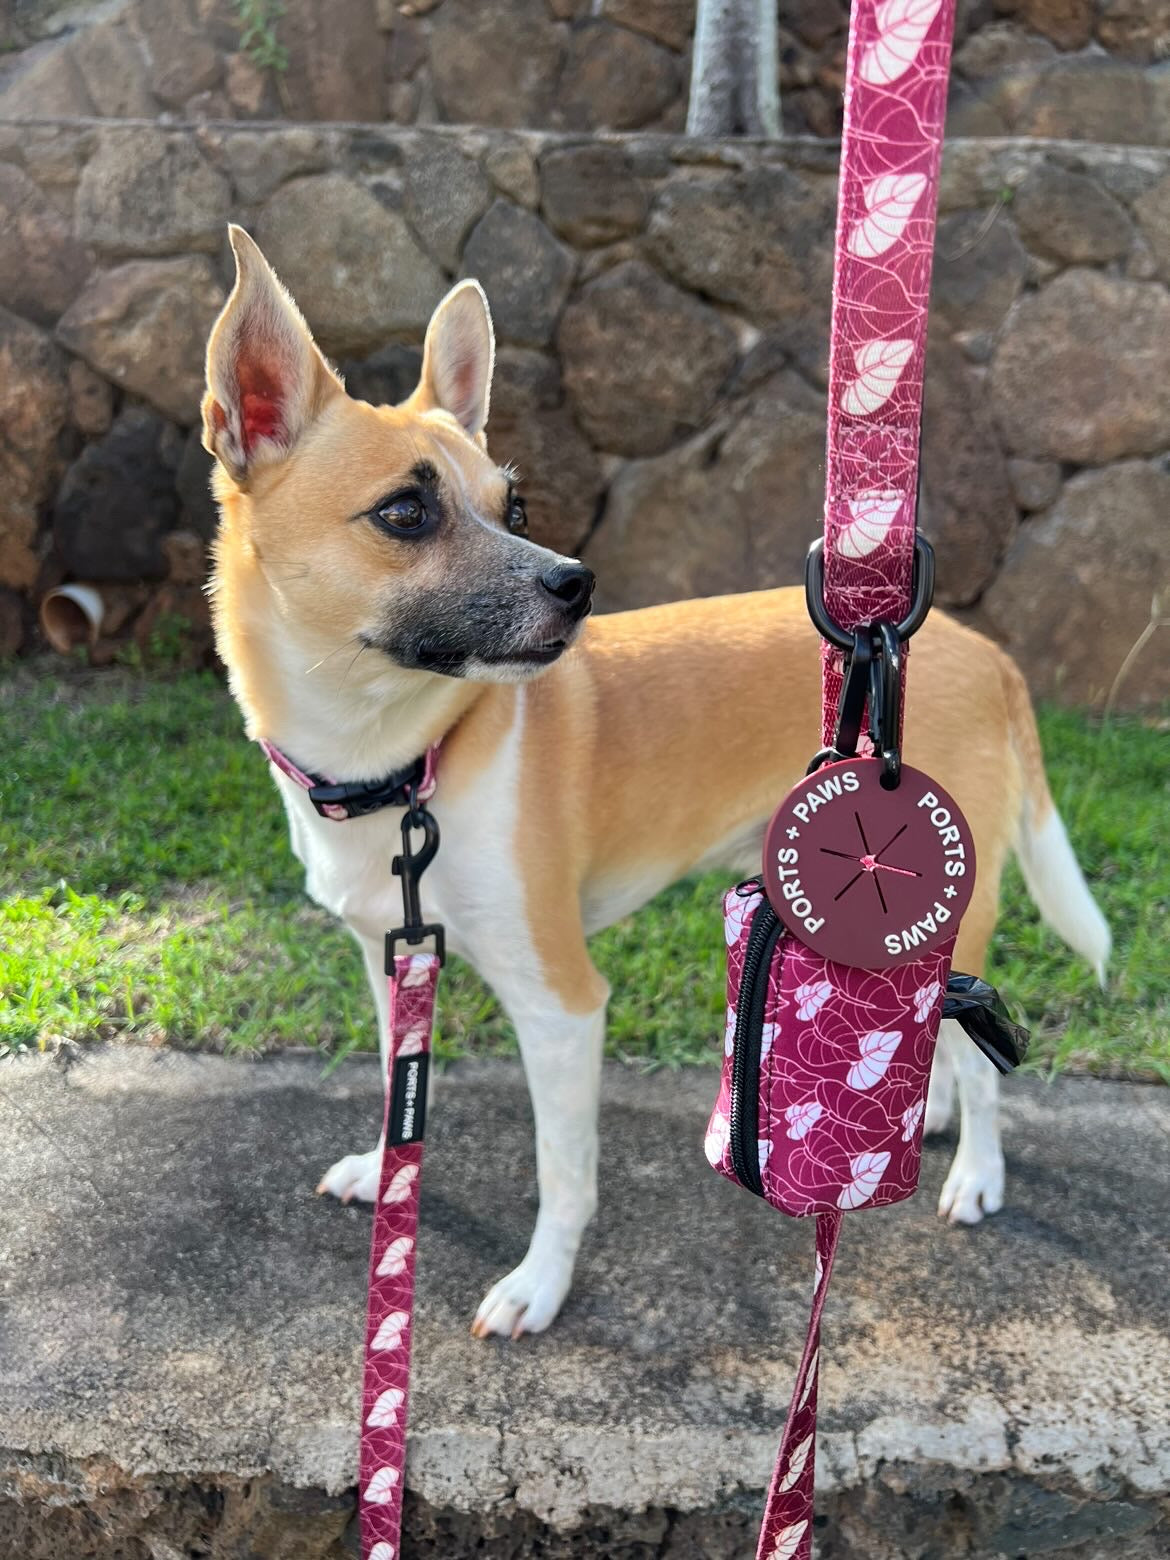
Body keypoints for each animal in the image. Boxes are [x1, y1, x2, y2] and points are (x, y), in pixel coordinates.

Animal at [205, 227, 1110, 1341]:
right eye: (406, 511)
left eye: (513, 506)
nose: (576, 584)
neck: (408, 763)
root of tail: (983, 650)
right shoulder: (392, 960)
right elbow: (396, 1083)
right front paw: (389, 1173)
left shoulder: (562, 1006)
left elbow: (565, 1174)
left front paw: (539, 1284)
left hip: (953, 904)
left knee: (983, 1063)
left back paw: (977, 1171)